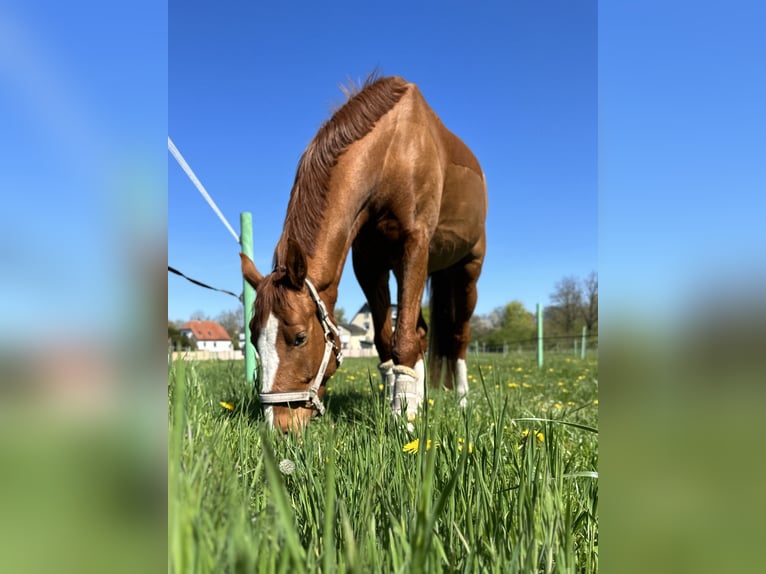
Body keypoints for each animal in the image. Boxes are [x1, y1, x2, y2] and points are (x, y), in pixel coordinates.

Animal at [243, 74, 488, 432]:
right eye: (253, 338)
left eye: (299, 337)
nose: (279, 426)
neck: (392, 151)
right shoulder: (369, 264)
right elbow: (387, 341)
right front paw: (399, 407)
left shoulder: (414, 246)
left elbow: (403, 340)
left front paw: (404, 423)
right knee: (422, 333)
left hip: (467, 271)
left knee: (459, 335)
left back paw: (462, 400)